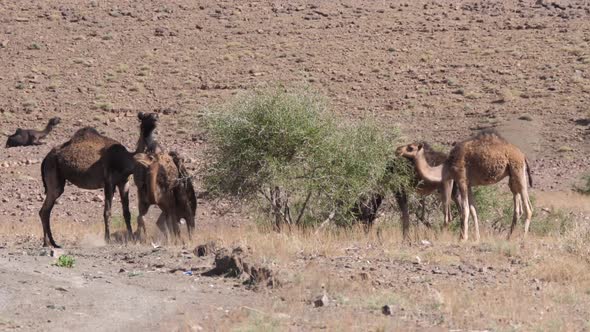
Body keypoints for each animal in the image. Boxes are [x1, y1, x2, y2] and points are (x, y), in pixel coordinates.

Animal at [400, 131, 536, 243]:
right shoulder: (469, 184)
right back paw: (509, 237)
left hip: (518, 170)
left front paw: (463, 238)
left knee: (528, 207)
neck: (446, 167)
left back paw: (522, 238)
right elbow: (473, 210)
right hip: (512, 176)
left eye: (410, 147)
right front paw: (476, 238)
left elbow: (465, 209)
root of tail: (523, 155)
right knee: (518, 208)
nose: (398, 150)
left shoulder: (461, 180)